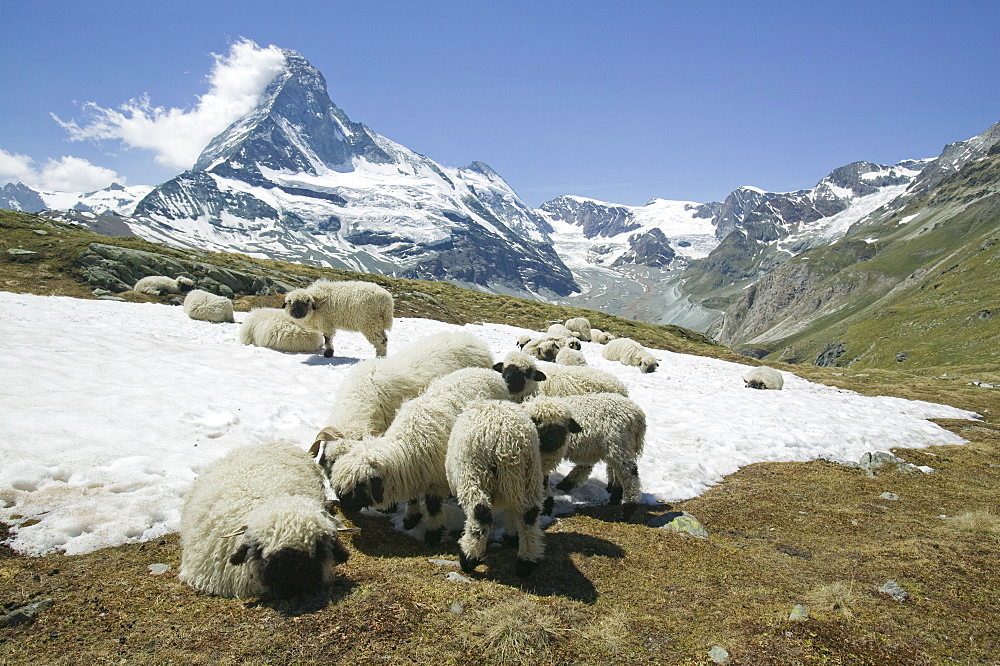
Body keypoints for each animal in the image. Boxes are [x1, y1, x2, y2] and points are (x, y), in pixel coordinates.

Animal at [324, 364, 516, 544]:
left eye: (359, 486)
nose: (345, 507)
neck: (407, 446)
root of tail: (486, 372)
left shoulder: (436, 481)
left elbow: (433, 507)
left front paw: (433, 534)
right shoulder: (413, 473)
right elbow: (412, 498)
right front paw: (411, 518)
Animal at [446, 394, 580, 576]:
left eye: (564, 425)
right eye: (538, 420)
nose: (554, 439)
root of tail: (506, 438)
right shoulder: (517, 483)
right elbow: (513, 512)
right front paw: (513, 537)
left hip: (475, 475)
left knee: (480, 514)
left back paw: (468, 558)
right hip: (527, 475)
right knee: (529, 515)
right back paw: (526, 562)